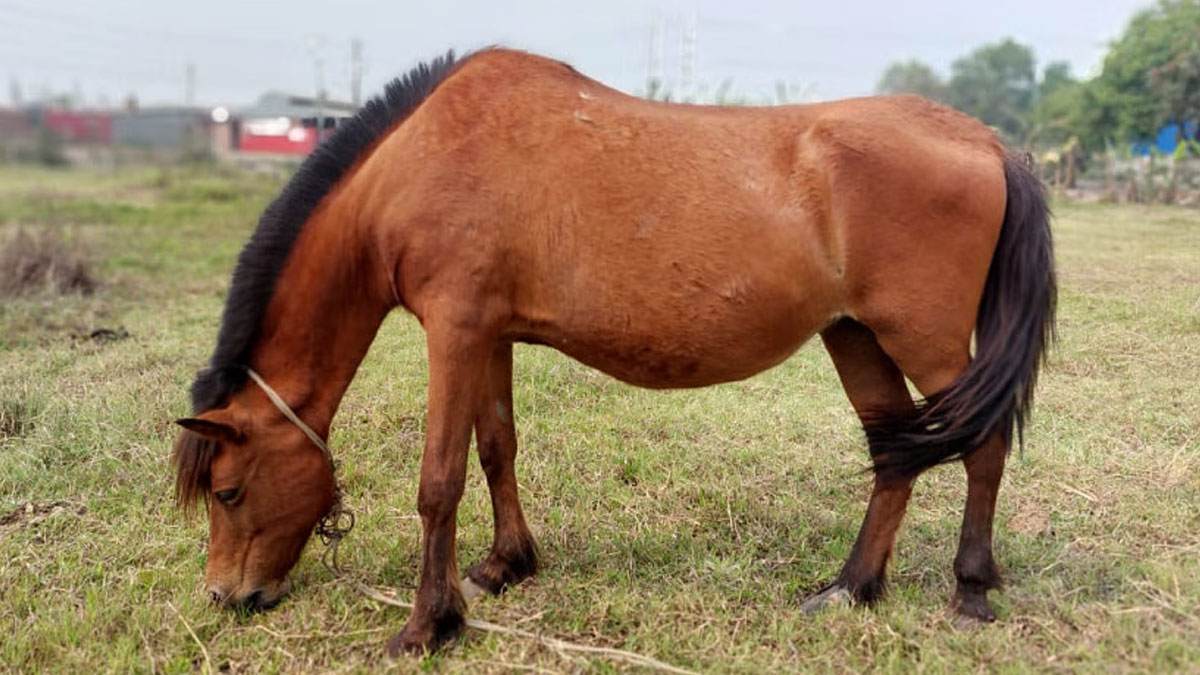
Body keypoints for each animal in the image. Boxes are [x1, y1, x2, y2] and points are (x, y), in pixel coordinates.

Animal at [169, 47, 1051, 653]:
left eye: (228, 490)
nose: (226, 596)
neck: (424, 159)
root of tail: (986, 141)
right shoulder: (489, 335)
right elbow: (496, 447)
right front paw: (505, 565)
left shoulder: (453, 332)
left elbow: (438, 482)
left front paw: (427, 625)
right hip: (855, 335)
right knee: (893, 451)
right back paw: (851, 586)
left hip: (926, 340)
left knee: (982, 445)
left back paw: (969, 590)